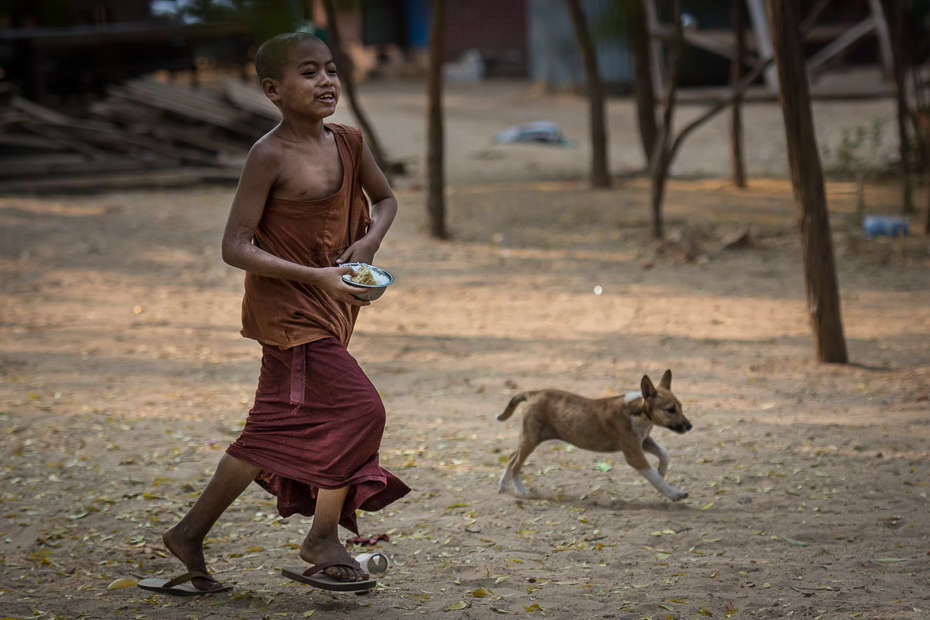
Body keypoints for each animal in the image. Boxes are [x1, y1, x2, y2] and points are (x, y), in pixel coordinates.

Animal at [492, 370, 688, 502]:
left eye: (681, 407)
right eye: (671, 410)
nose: (689, 426)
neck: (636, 409)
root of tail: (532, 393)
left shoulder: (643, 441)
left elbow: (664, 454)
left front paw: (663, 470)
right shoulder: (634, 454)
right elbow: (655, 478)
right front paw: (674, 494)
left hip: (529, 439)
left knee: (512, 458)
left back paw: (504, 485)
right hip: (531, 439)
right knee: (516, 464)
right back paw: (520, 491)